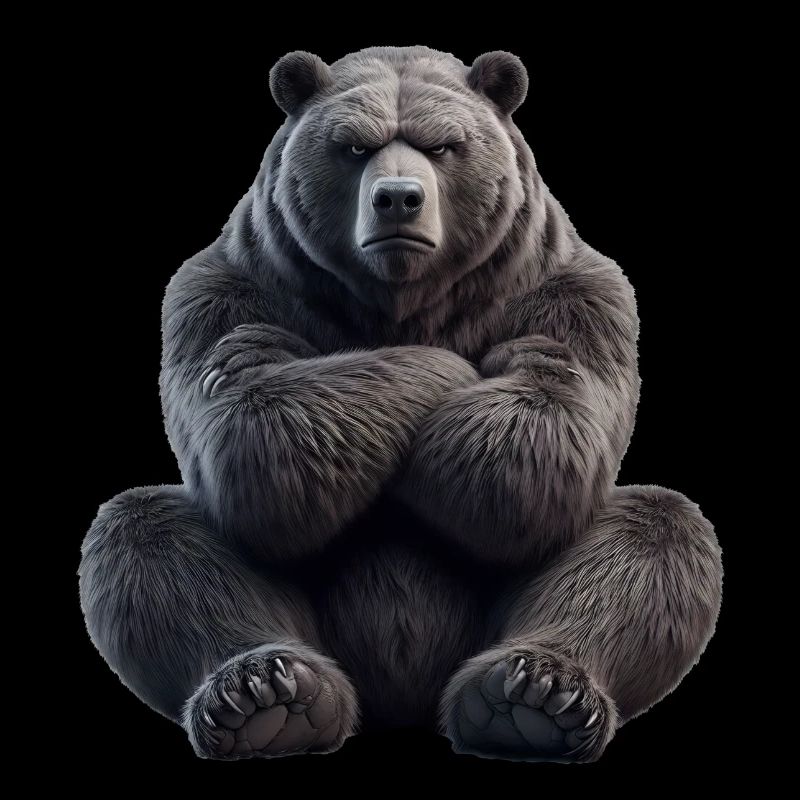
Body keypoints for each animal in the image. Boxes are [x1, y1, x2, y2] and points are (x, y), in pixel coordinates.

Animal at [78, 45, 723, 763]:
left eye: (441, 145)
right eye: (354, 146)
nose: (397, 199)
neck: (404, 302)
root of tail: (401, 704)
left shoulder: (573, 295)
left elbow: (539, 447)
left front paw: (496, 365)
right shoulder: (226, 292)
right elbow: (254, 437)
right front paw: (415, 364)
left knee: (653, 533)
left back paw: (533, 696)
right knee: (149, 534)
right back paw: (266, 696)